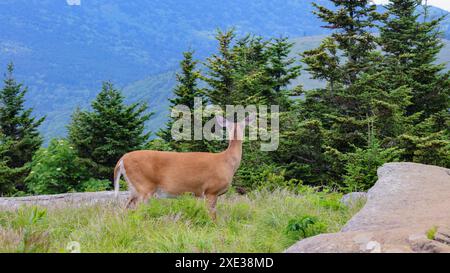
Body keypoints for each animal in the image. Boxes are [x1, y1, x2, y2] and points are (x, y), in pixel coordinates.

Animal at [112, 113, 255, 219]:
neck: (227, 162)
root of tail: (122, 159)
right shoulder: (211, 190)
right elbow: (212, 215)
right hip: (144, 186)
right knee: (137, 210)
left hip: (134, 188)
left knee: (125, 209)